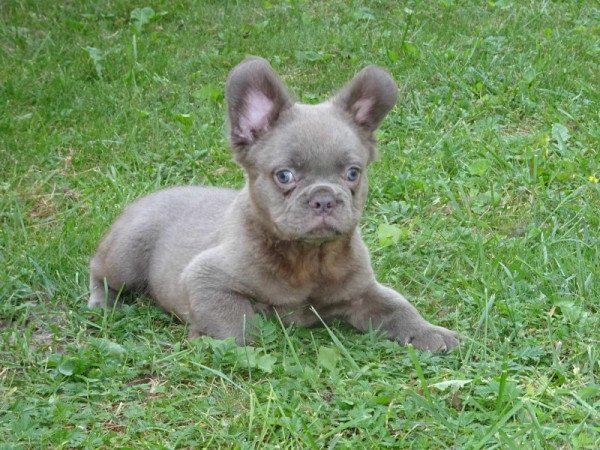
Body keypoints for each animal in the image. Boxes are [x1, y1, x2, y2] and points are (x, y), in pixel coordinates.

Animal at [88, 56, 460, 352]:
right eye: (284, 176)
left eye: (353, 173)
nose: (324, 198)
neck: (309, 258)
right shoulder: (205, 278)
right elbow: (233, 322)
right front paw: (215, 341)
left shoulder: (363, 292)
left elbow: (397, 306)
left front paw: (428, 332)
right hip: (126, 254)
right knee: (101, 272)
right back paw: (102, 303)